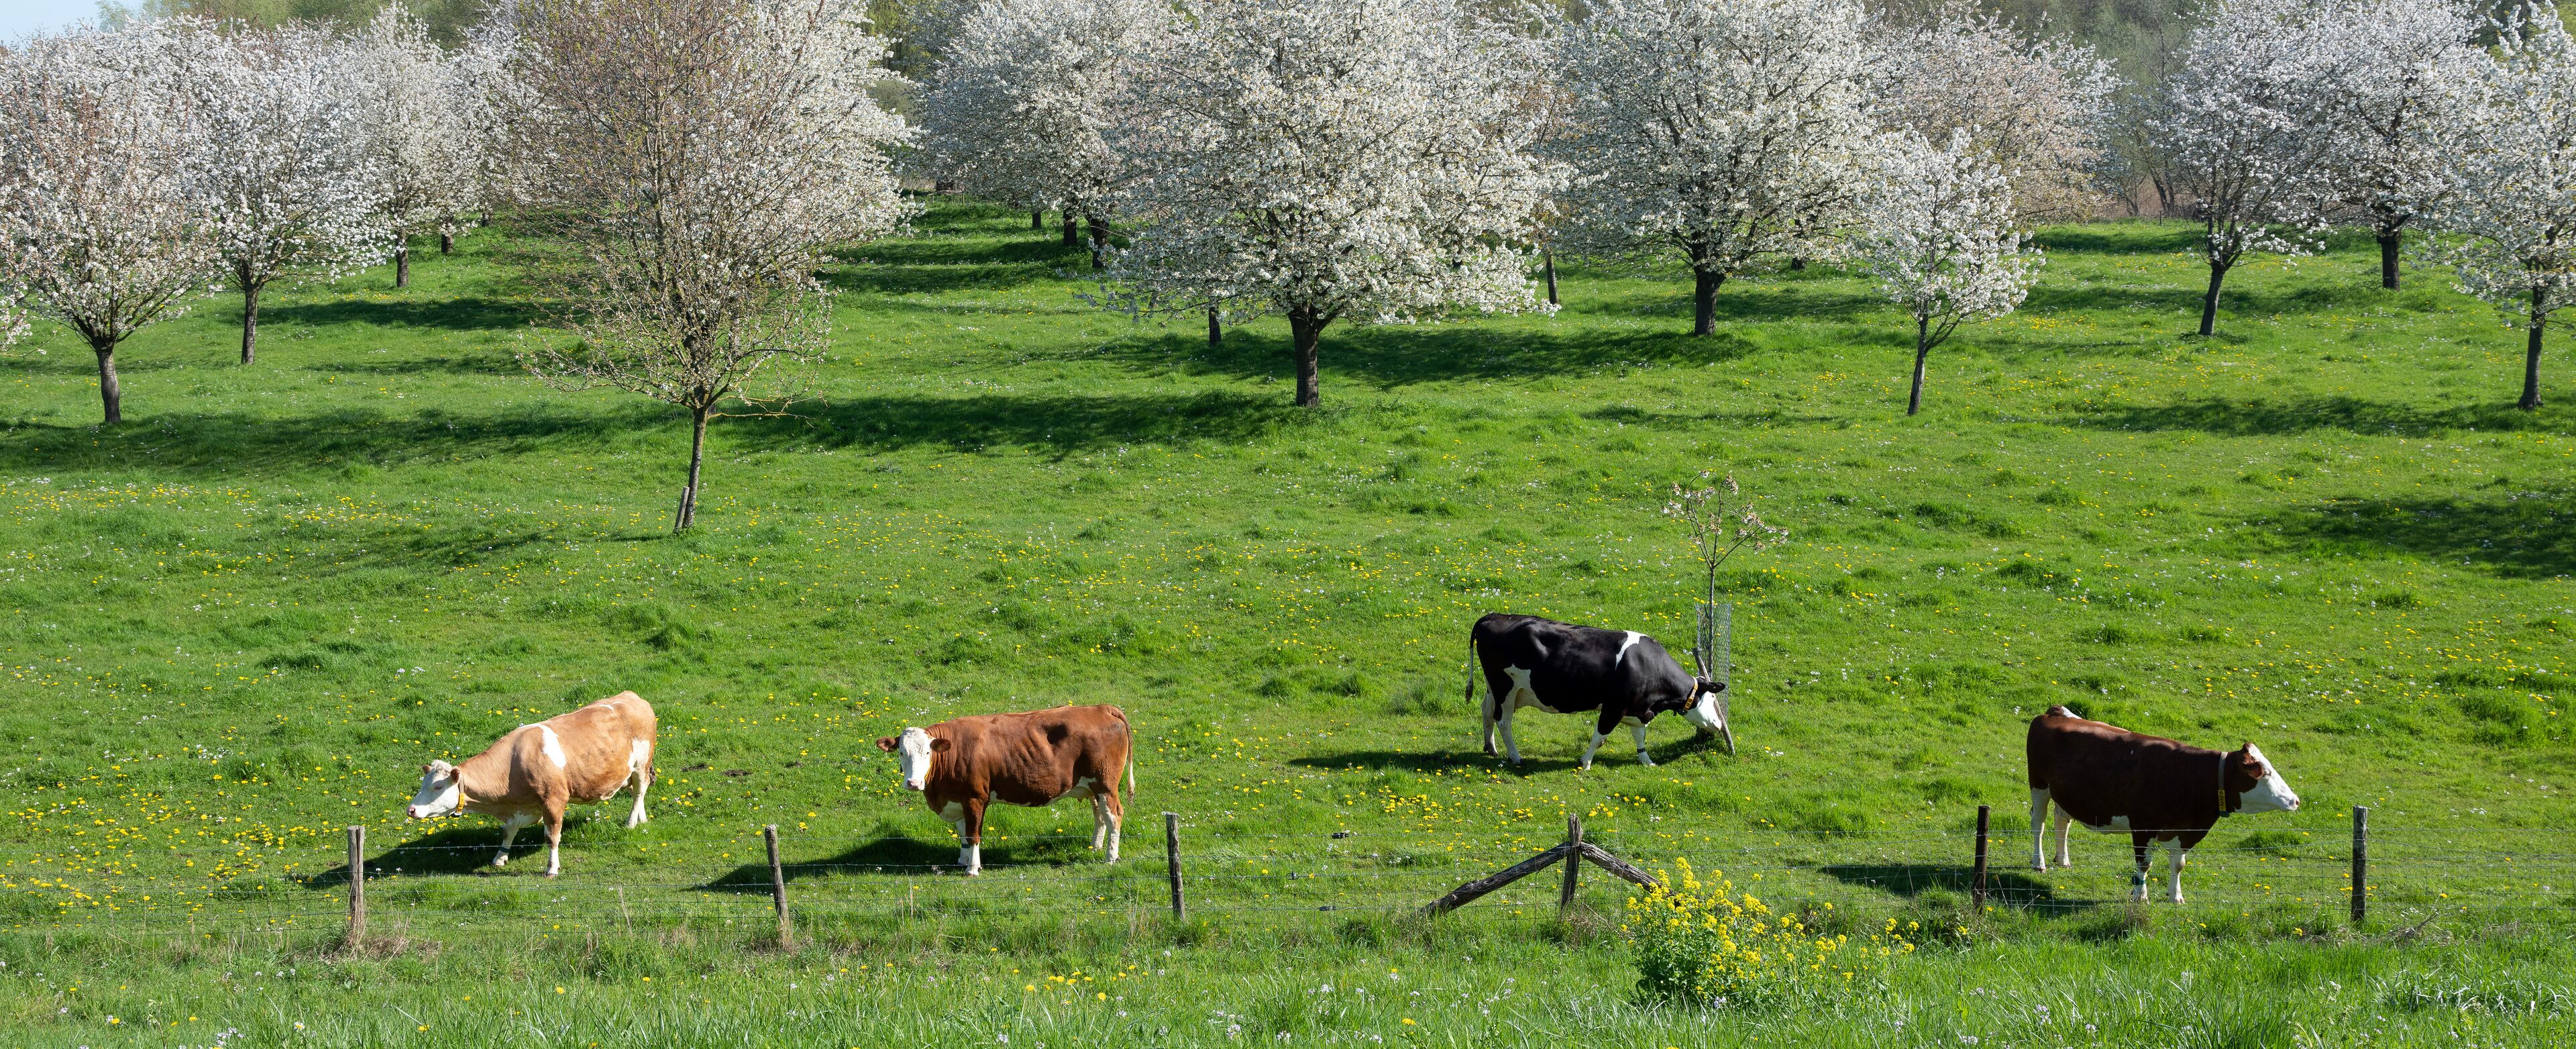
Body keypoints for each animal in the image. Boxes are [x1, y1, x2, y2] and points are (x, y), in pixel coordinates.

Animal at [404, 691, 658, 878]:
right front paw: (500, 857)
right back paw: (642, 818)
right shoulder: (519, 809)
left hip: (641, 764)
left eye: (438, 787)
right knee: (638, 791)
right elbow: (508, 831)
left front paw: (552, 868)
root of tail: (633, 697)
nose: (411, 809)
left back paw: (631, 822)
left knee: (640, 789)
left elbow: (552, 837)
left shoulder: (554, 801)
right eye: (423, 784)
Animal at [878, 704, 1133, 876]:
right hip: (1091, 787)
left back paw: (1110, 857)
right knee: (1100, 815)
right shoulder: (957, 800)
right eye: (902, 753)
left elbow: (973, 834)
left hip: (1106, 785)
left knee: (1114, 816)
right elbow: (962, 833)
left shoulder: (975, 798)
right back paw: (1095, 847)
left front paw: (972, 869)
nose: (913, 783)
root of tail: (1101, 708)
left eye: (928, 753)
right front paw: (962, 860)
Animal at [1467, 613, 1729, 769]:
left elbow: (1640, 736)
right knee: (1503, 720)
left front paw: (1646, 760)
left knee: (1486, 712)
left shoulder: (1637, 708)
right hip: (1506, 687)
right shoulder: (1614, 707)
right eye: (1712, 697)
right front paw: (1585, 763)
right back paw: (1515, 756)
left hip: (1496, 688)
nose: (1718, 725)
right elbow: (1600, 737)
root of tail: (1494, 616)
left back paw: (1491, 748)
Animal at [2025, 705, 2301, 903]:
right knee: (2038, 823)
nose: (2295, 801)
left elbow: (2179, 865)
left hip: (2064, 792)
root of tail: (2055, 711)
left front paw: (2175, 896)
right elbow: (2144, 864)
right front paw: (2140, 896)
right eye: (2265, 773)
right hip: (2039, 785)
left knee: (2062, 819)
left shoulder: (2184, 830)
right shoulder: (2142, 826)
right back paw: (2039, 863)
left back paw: (2063, 859)